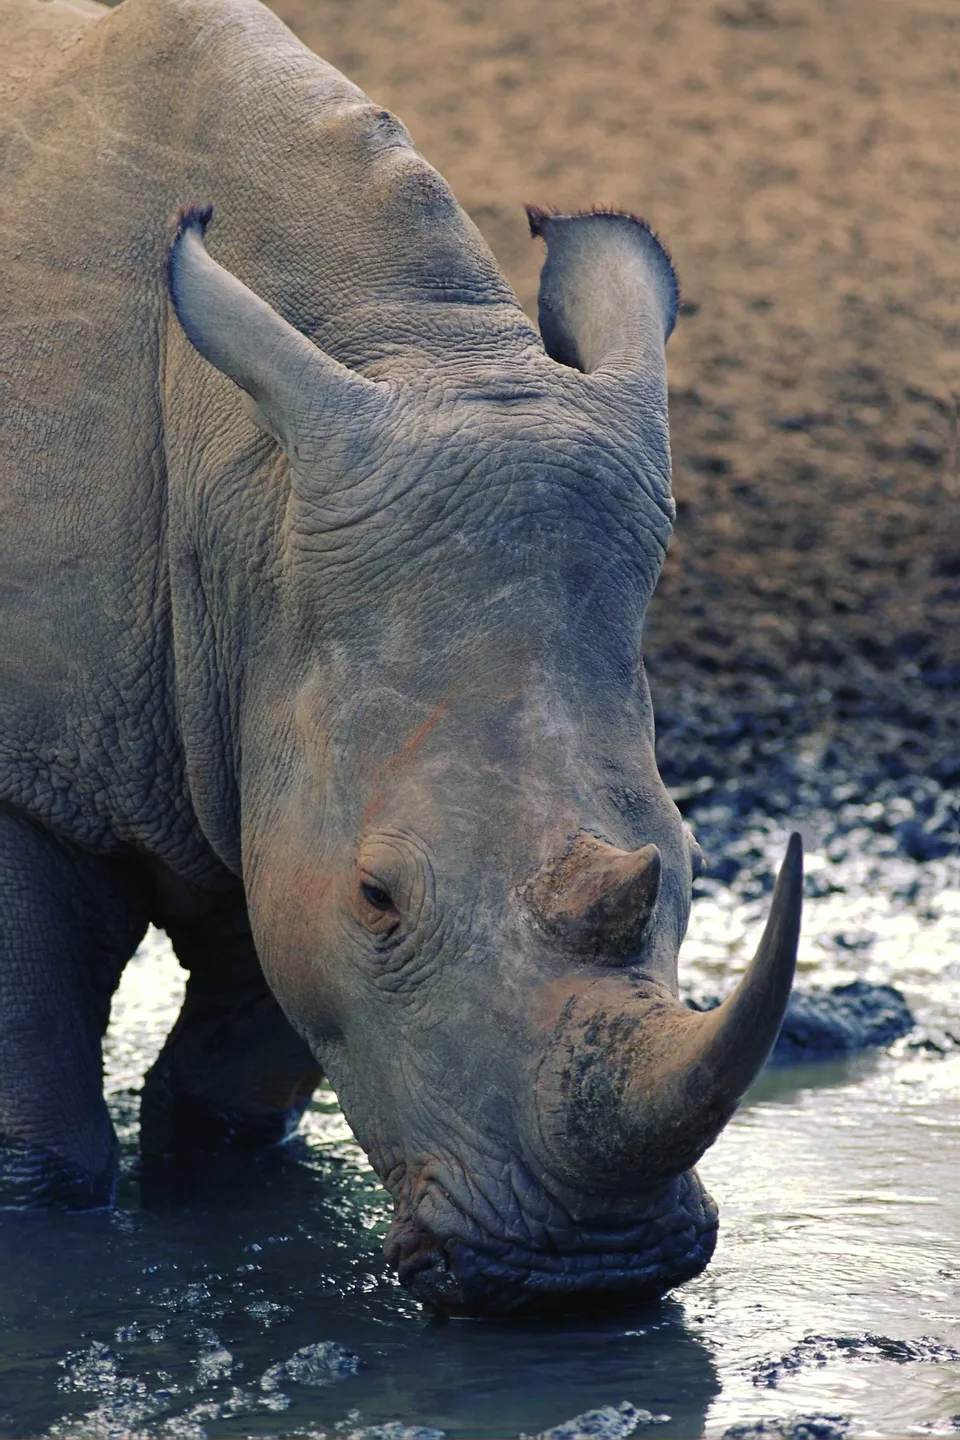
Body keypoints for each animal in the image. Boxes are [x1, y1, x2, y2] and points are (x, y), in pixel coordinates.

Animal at [0, 0, 802, 1314]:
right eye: (382, 896)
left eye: (689, 861)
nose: (591, 1274)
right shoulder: (33, 769)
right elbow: (44, 1140)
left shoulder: (268, 716)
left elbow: (241, 1068)